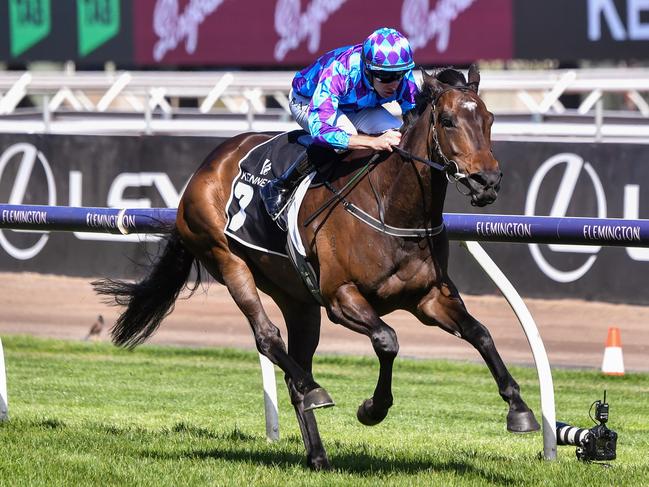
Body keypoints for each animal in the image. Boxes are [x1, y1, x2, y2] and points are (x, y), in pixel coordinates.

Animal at [93, 66, 540, 470]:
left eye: (489, 119)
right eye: (448, 121)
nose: (487, 181)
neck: (393, 206)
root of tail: (206, 166)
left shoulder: (429, 298)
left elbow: (481, 334)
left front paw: (519, 409)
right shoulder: (340, 298)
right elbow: (387, 340)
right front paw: (372, 408)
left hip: (298, 299)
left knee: (294, 372)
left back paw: (318, 454)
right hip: (227, 259)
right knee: (268, 339)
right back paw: (316, 391)